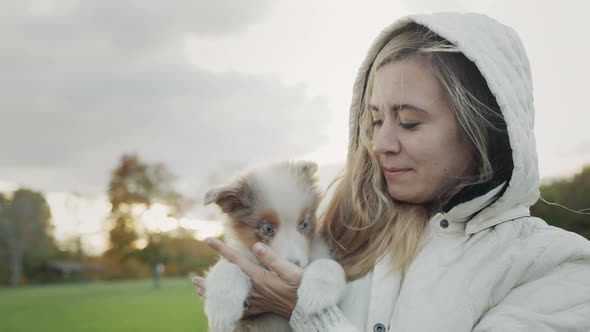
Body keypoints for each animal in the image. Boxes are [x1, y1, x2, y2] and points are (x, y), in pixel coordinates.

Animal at [206, 161, 350, 332]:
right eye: (267, 228)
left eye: (305, 224)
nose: (294, 265)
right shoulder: (241, 254)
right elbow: (228, 267)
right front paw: (221, 311)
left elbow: (328, 265)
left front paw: (315, 295)